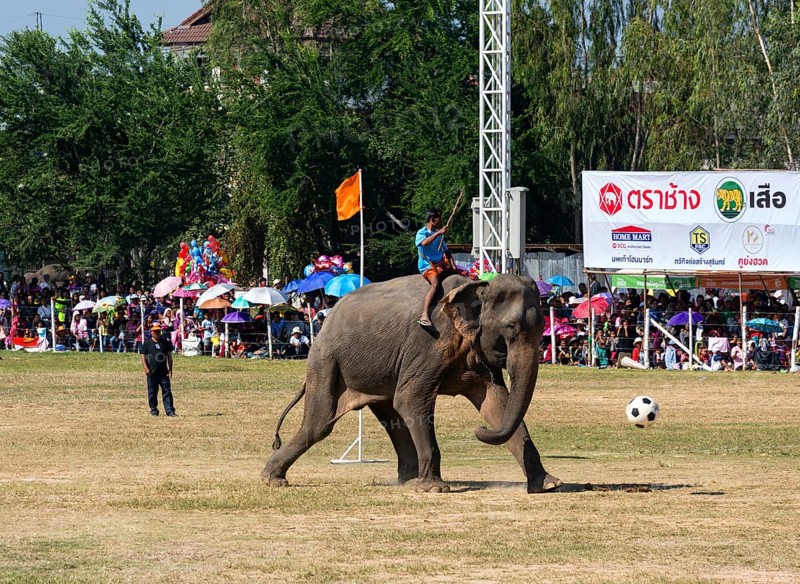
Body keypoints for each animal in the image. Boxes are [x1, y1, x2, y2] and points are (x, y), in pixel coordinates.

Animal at [262, 273, 562, 493]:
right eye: (511, 328)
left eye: (541, 329)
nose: (478, 430)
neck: (476, 287)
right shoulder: (429, 343)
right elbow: (411, 398)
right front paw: (435, 489)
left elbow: (496, 405)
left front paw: (549, 484)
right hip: (326, 361)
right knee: (320, 423)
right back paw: (272, 479)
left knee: (390, 415)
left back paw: (407, 480)